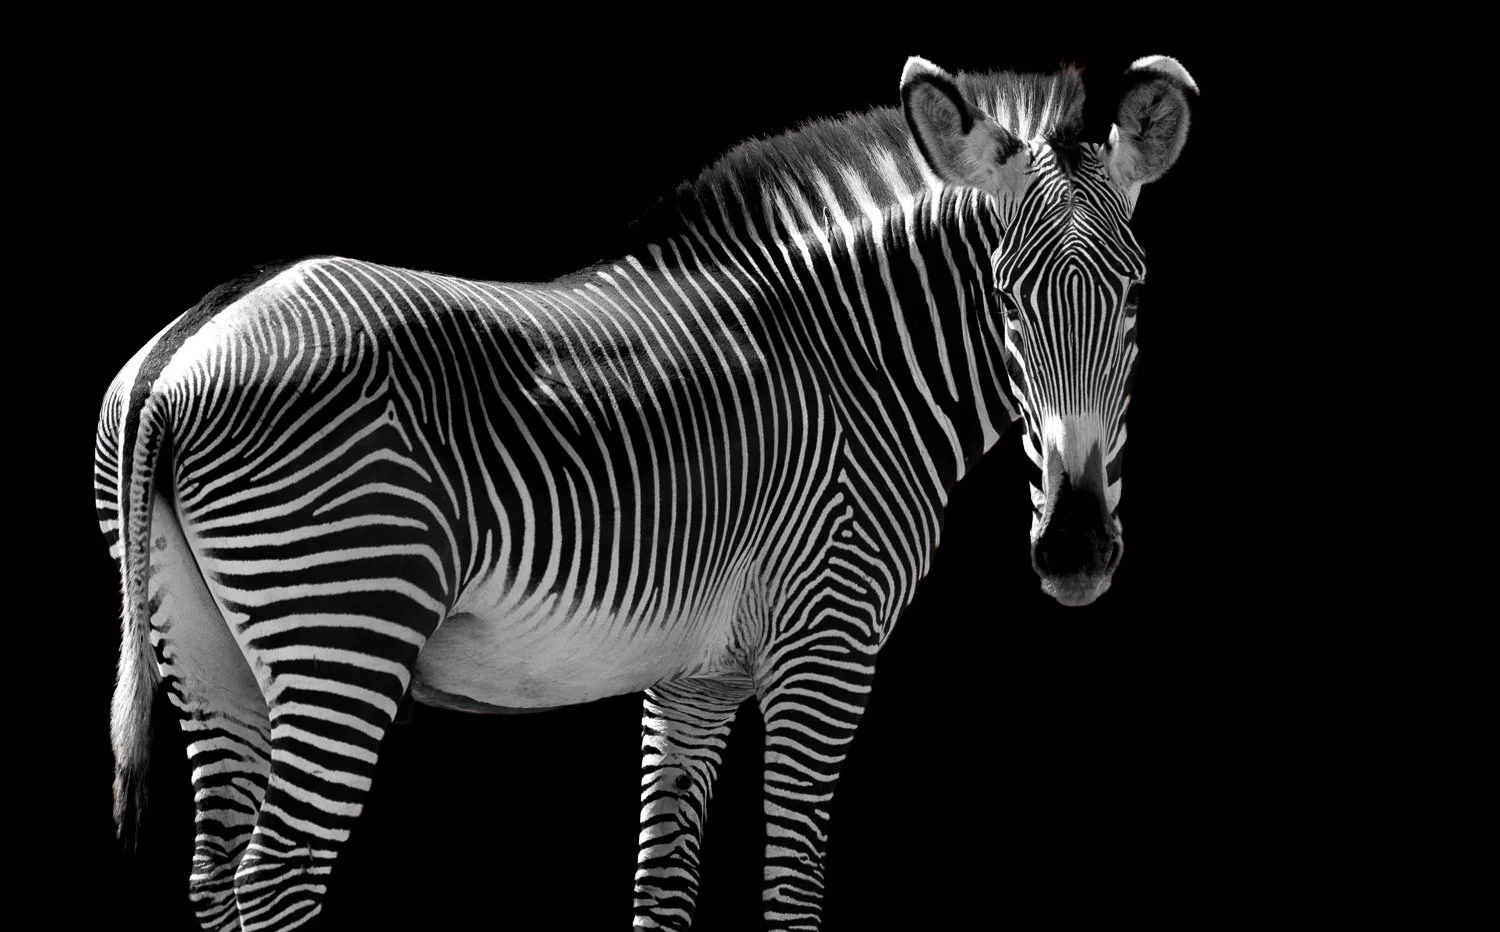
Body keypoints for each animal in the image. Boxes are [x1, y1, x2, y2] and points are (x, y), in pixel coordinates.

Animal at [94, 54, 1196, 930]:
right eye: (1004, 295)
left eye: (1139, 291)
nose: (1076, 551)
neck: (855, 362)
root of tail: (192, 339)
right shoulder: (826, 645)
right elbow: (792, 892)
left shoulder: (694, 678)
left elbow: (662, 892)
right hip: (341, 627)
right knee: (276, 878)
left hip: (205, 651)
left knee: (215, 877)